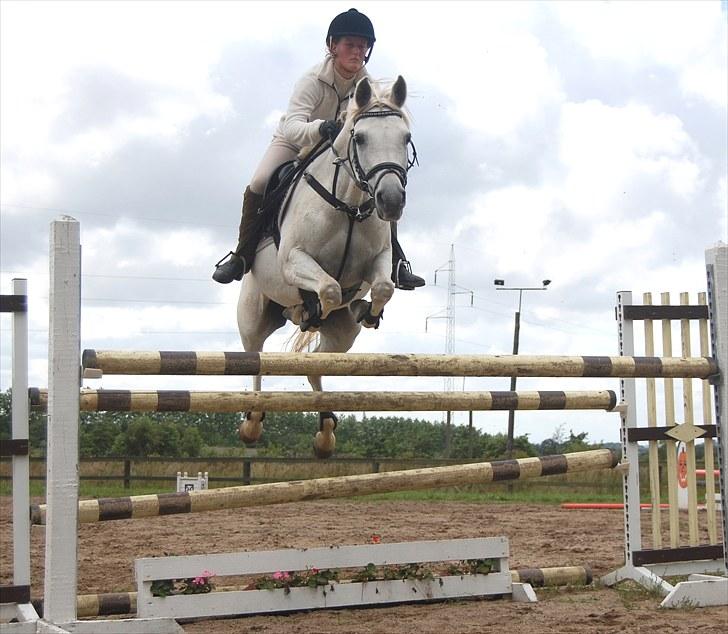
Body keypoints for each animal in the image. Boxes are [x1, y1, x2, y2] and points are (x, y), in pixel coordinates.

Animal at [235, 76, 412, 456]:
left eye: (406, 138)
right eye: (360, 138)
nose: (391, 201)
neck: (348, 204)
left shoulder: (378, 263)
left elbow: (382, 287)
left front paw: (367, 311)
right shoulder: (294, 260)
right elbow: (329, 288)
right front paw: (309, 309)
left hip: (344, 334)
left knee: (317, 361)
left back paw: (326, 431)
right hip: (253, 315)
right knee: (255, 358)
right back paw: (253, 423)